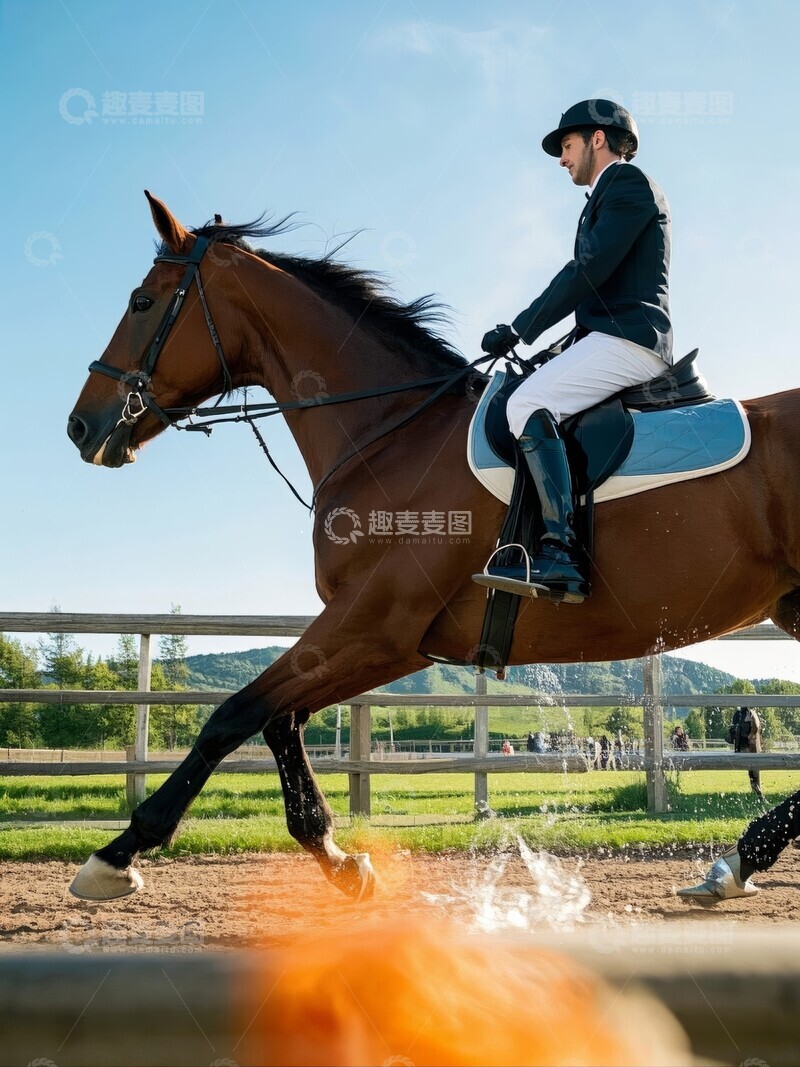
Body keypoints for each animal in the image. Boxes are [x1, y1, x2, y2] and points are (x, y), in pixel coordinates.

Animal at [66, 191, 800, 901]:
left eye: (141, 301)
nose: (81, 426)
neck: (391, 431)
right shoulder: (392, 638)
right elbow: (280, 719)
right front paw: (339, 857)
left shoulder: (374, 622)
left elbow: (234, 713)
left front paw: (117, 854)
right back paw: (739, 859)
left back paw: (739, 858)